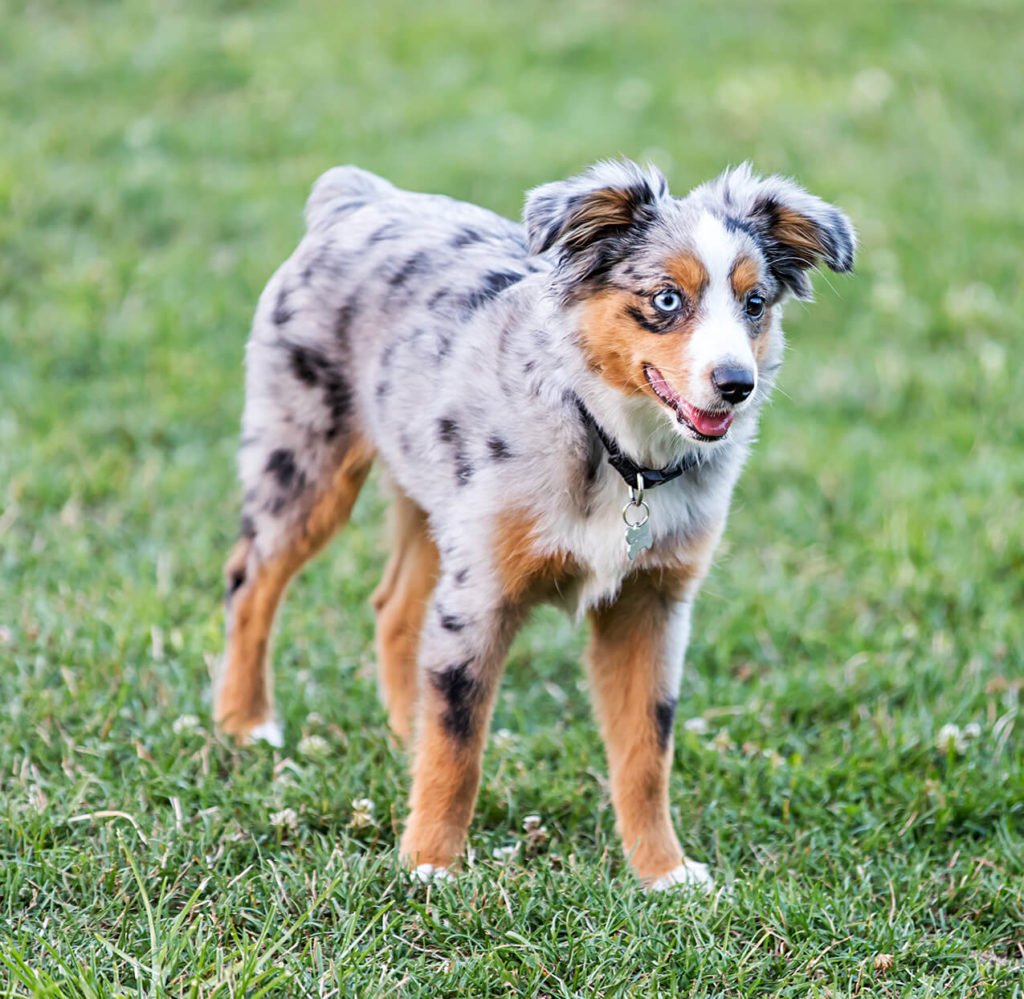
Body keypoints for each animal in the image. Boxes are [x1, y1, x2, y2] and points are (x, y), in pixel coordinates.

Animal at [216, 155, 856, 888]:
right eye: (667, 299)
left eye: (755, 304)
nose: (736, 384)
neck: (620, 452)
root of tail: (358, 197)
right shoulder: (482, 592)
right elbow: (460, 740)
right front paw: (431, 863)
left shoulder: (651, 603)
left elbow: (647, 749)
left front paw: (662, 870)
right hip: (306, 463)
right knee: (251, 580)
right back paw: (245, 722)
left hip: (433, 496)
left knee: (395, 608)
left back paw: (406, 731)